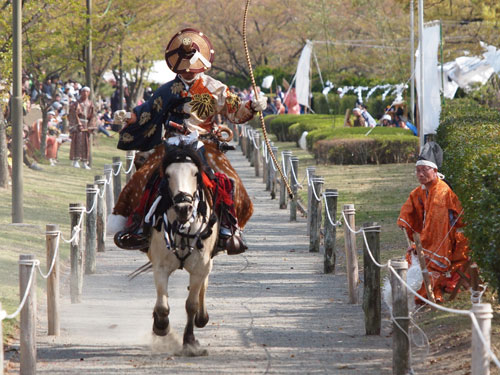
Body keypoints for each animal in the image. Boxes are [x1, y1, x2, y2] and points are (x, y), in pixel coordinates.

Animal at [146, 143, 218, 356]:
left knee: (204, 286)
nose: (183, 208)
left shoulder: (201, 266)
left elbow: (191, 304)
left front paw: (190, 341)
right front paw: (161, 326)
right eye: (168, 175)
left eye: (195, 173)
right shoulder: (160, 265)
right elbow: (162, 306)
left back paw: (202, 317)